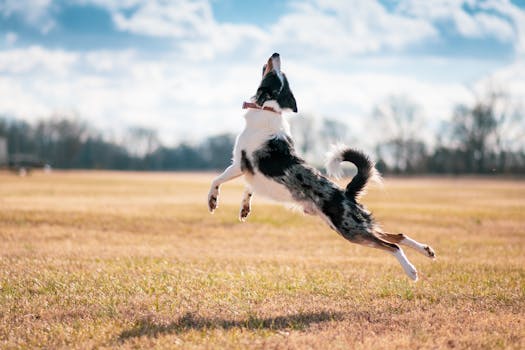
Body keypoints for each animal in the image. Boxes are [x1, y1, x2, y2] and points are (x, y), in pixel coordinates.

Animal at [209, 52, 434, 282]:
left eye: (277, 75)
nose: (276, 54)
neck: (268, 107)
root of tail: (347, 193)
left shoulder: (239, 164)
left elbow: (217, 180)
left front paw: (213, 200)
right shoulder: (252, 173)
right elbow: (248, 188)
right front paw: (244, 208)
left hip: (349, 229)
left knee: (392, 245)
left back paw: (411, 271)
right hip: (351, 226)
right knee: (397, 235)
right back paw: (426, 251)